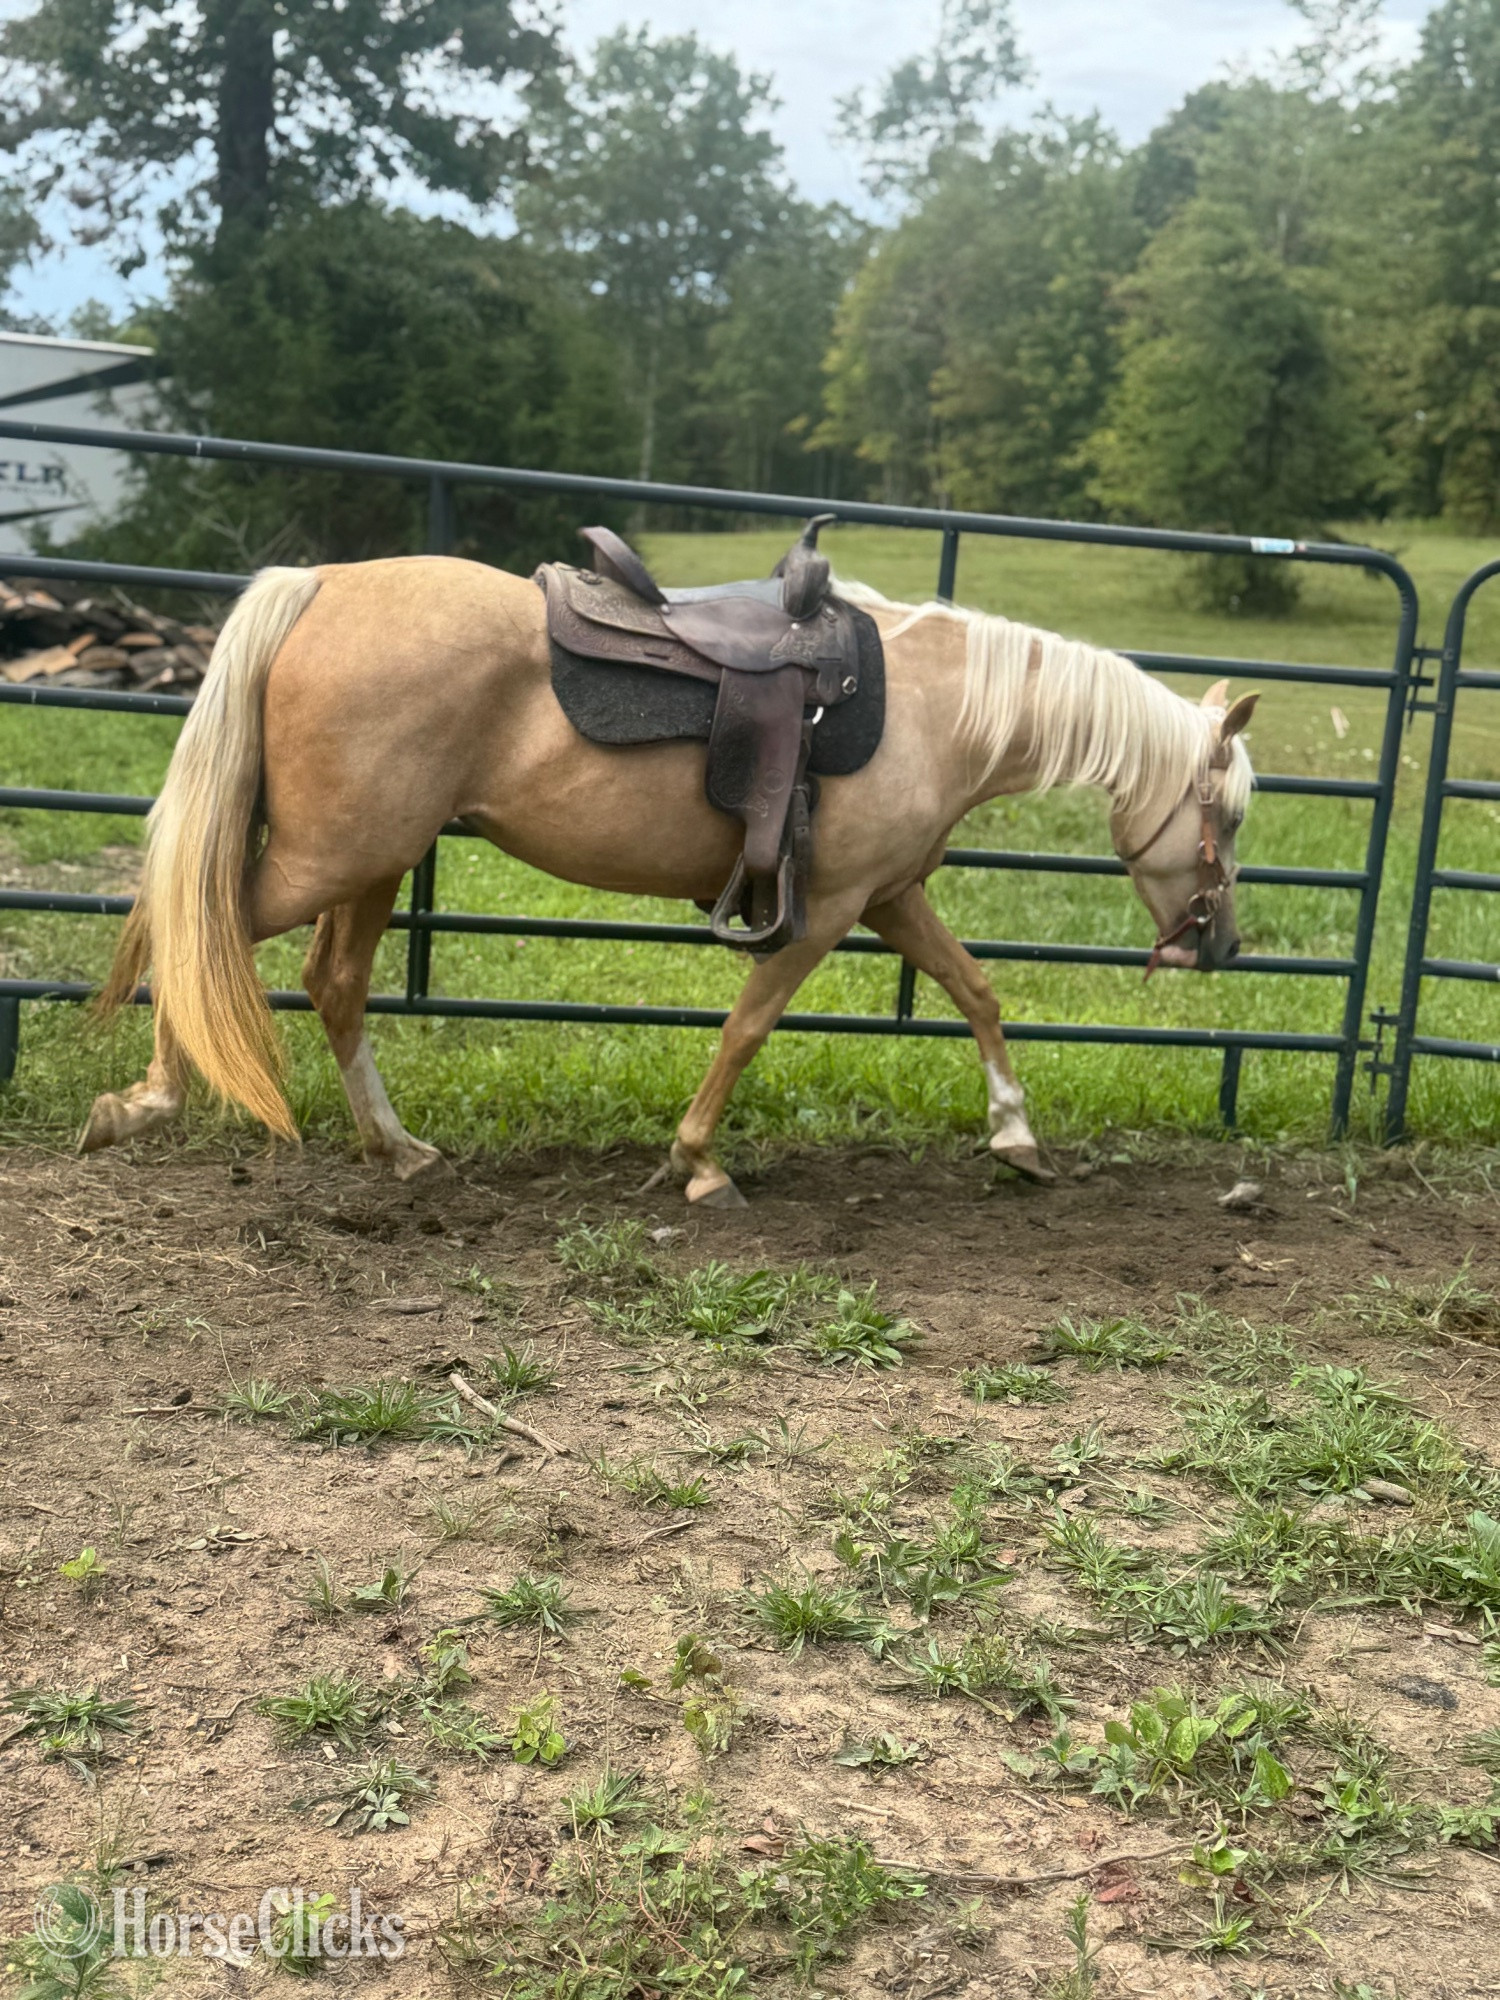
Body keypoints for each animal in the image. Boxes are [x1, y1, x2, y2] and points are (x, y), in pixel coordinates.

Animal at [79, 551, 1257, 1204]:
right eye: (1232, 813)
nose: (1223, 942)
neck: (939, 705)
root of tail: (318, 586)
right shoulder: (825, 911)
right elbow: (748, 1025)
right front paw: (697, 1159)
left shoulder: (887, 896)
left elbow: (976, 989)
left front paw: (1016, 1134)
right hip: (338, 855)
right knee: (199, 931)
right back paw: (142, 1103)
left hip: (377, 857)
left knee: (332, 981)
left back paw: (398, 1148)